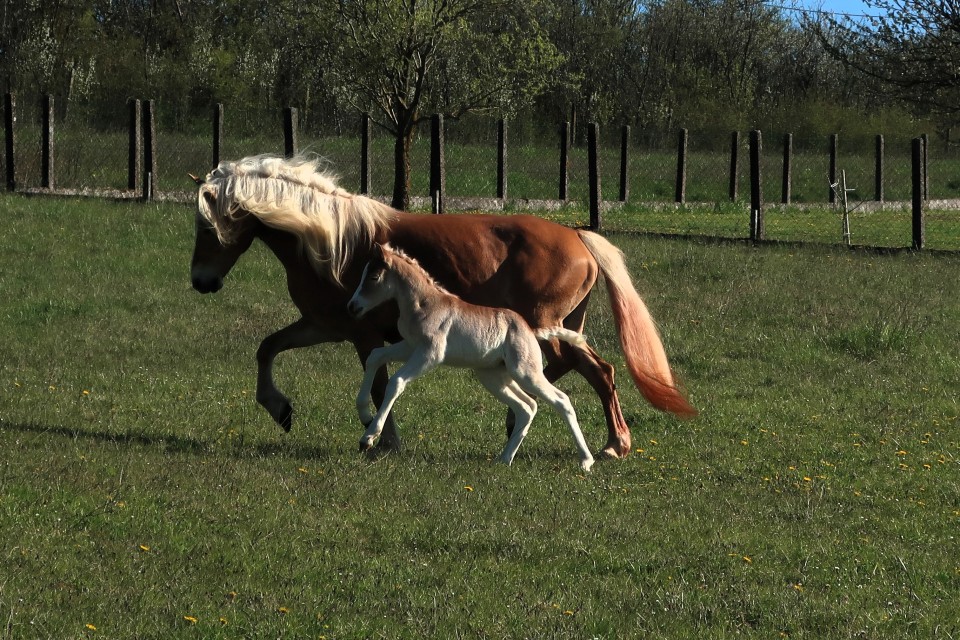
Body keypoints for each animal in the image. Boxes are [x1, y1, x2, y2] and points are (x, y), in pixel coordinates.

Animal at [348, 244, 596, 471]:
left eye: (373, 276)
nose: (352, 306)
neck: (423, 304)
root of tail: (531, 331)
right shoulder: (410, 346)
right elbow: (375, 356)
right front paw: (364, 414)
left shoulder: (430, 354)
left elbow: (396, 381)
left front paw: (369, 437)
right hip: (494, 377)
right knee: (527, 407)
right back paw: (504, 459)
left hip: (526, 372)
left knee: (561, 400)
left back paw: (586, 460)